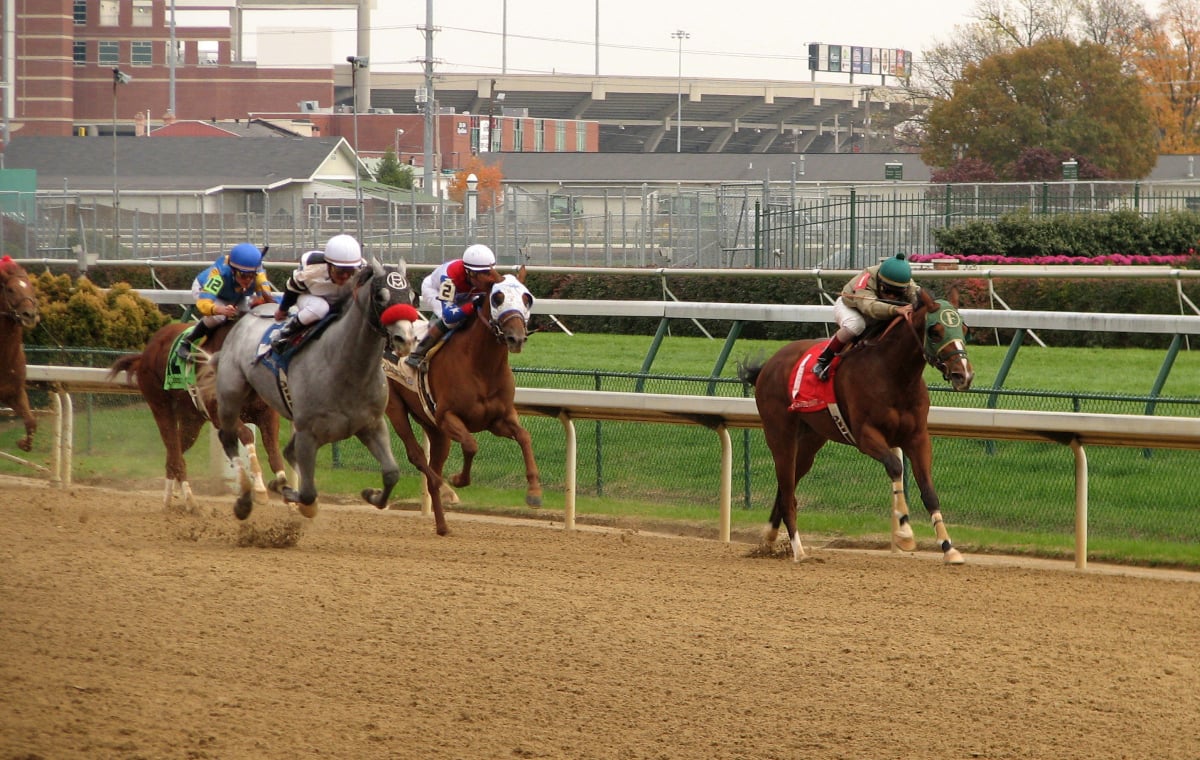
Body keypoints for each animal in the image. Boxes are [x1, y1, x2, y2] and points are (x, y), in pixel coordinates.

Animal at [109, 316, 288, 506]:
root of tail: (145, 354)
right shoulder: (219, 414)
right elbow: (247, 434)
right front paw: (260, 489)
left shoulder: (267, 414)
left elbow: (273, 449)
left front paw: (285, 490)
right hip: (160, 405)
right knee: (174, 453)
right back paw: (189, 501)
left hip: (191, 420)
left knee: (174, 453)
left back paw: (169, 498)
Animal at [213, 260, 420, 521]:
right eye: (381, 296)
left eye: (411, 296)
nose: (406, 339)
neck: (347, 369)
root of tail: (249, 313)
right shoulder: (307, 433)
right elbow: (308, 493)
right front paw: (286, 491)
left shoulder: (372, 425)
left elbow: (392, 473)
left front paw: (371, 494)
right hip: (231, 392)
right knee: (228, 436)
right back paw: (244, 499)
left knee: (284, 451)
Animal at [384, 264, 544, 518]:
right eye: (497, 298)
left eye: (527, 298)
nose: (516, 338)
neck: (482, 366)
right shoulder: (447, 416)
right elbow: (471, 445)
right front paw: (459, 479)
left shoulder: (498, 419)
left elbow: (525, 437)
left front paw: (534, 492)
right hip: (396, 407)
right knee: (417, 455)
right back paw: (446, 490)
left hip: (432, 426)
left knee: (433, 467)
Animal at [734, 290, 979, 564]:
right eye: (935, 331)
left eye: (964, 328)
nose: (963, 375)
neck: (893, 374)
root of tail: (769, 364)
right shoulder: (866, 435)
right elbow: (895, 467)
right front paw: (904, 533)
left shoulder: (918, 438)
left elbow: (929, 491)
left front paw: (949, 548)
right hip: (780, 434)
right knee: (788, 493)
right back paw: (799, 551)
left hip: (810, 442)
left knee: (786, 485)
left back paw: (768, 539)